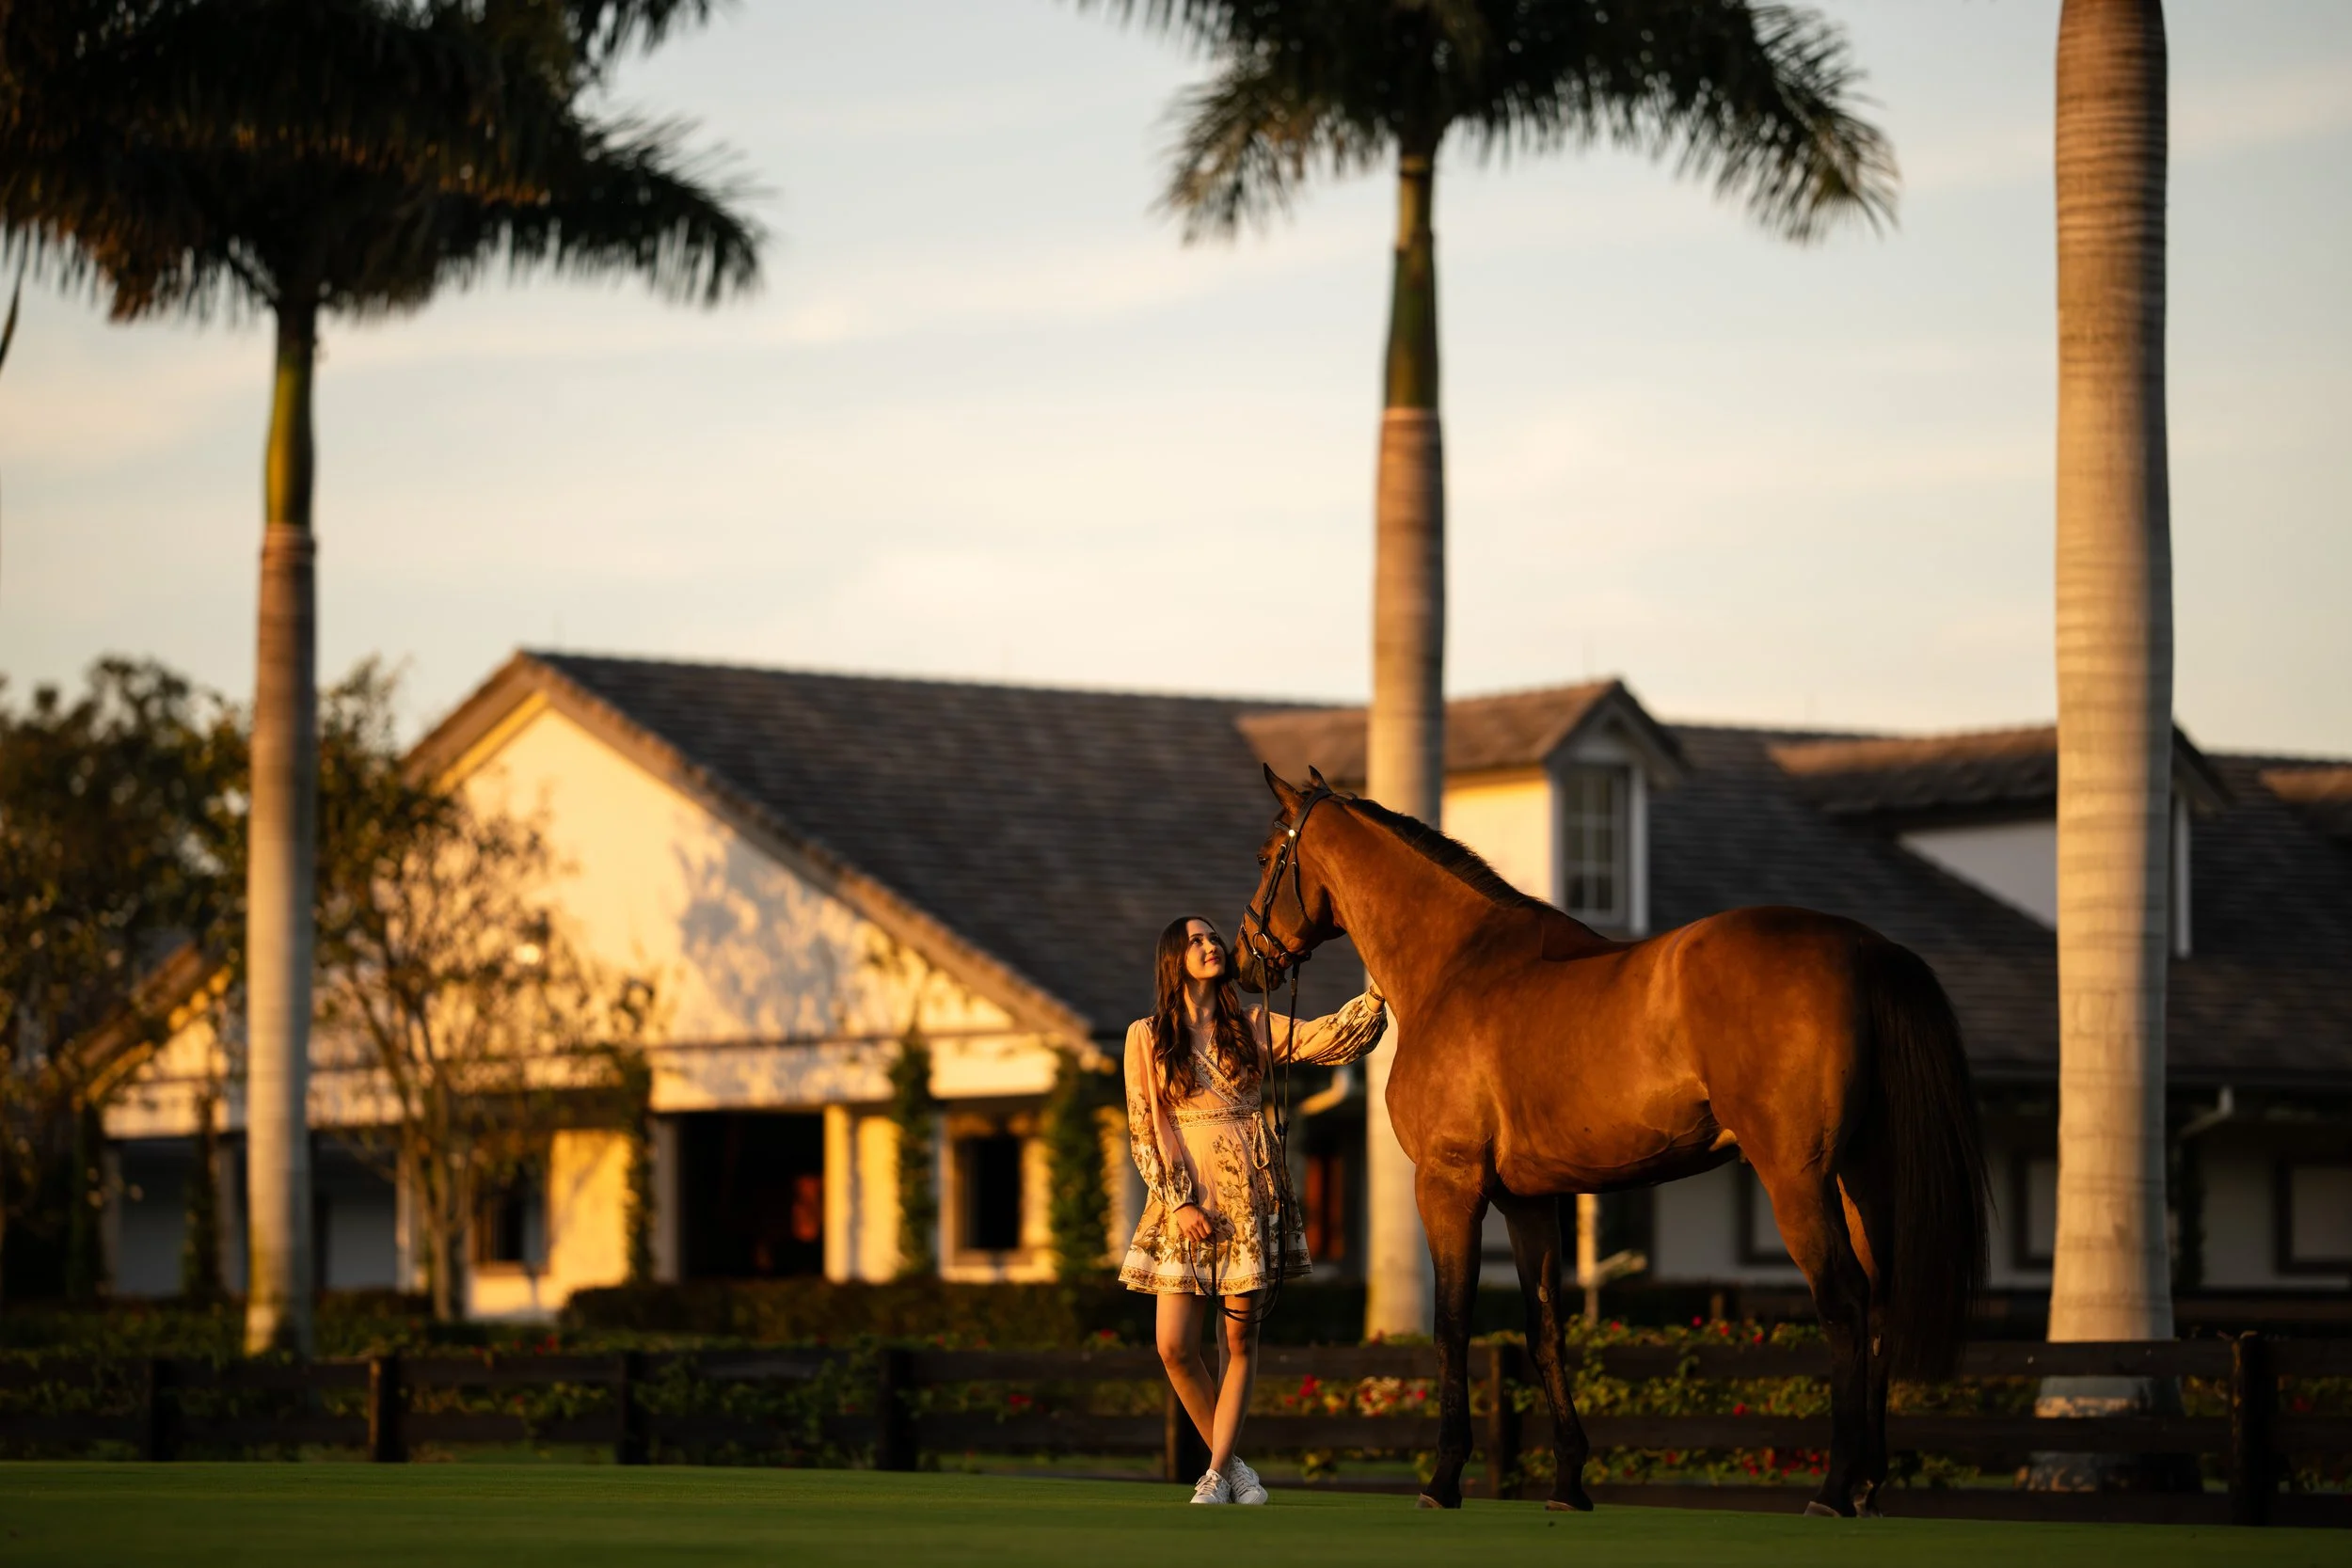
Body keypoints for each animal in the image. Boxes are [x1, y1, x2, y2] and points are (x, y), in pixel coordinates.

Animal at [1236, 767, 1988, 1518]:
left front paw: (1444, 1476)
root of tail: (1866, 949)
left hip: (1798, 1178)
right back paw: (1868, 1483)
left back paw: (1834, 1488)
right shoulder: (1529, 1201)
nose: (1247, 961)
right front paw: (1570, 1481)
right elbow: (1545, 1328)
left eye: (1267, 855)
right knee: (1882, 1301)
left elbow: (1452, 1323)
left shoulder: (1449, 1185)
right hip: (1862, 1177)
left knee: (1844, 1301)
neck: (1459, 967)